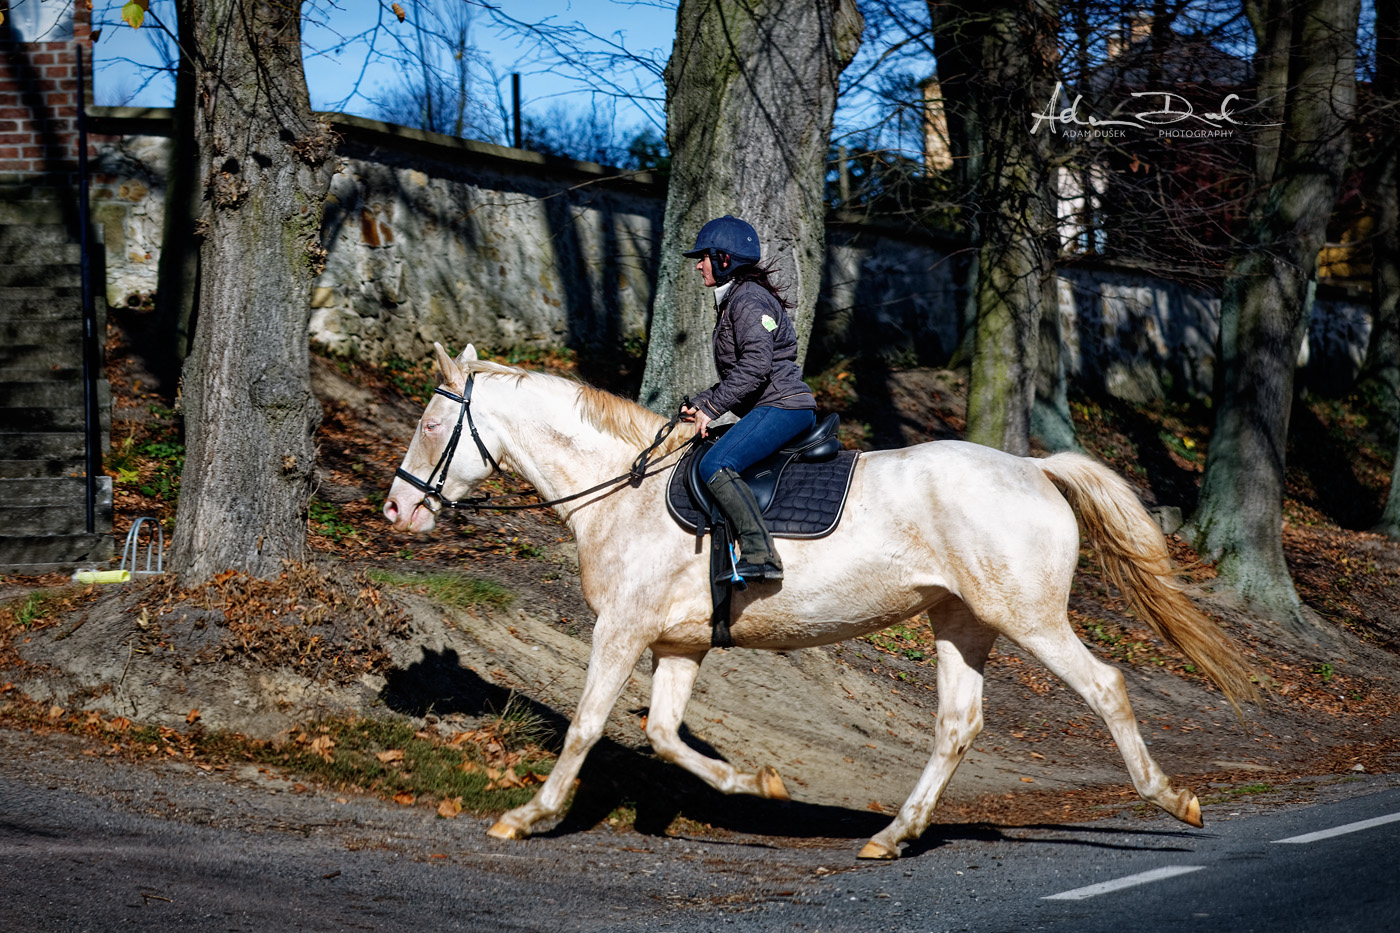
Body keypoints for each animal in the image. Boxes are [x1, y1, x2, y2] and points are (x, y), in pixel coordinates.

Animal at [386, 343, 1260, 857]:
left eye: (429, 422)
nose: (396, 510)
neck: (620, 492)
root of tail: (1035, 467)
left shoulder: (623, 631)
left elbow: (587, 726)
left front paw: (528, 814)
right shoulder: (679, 644)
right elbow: (664, 734)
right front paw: (761, 783)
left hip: (1030, 618)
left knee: (1105, 687)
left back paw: (1173, 799)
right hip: (962, 622)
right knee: (957, 724)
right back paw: (893, 833)